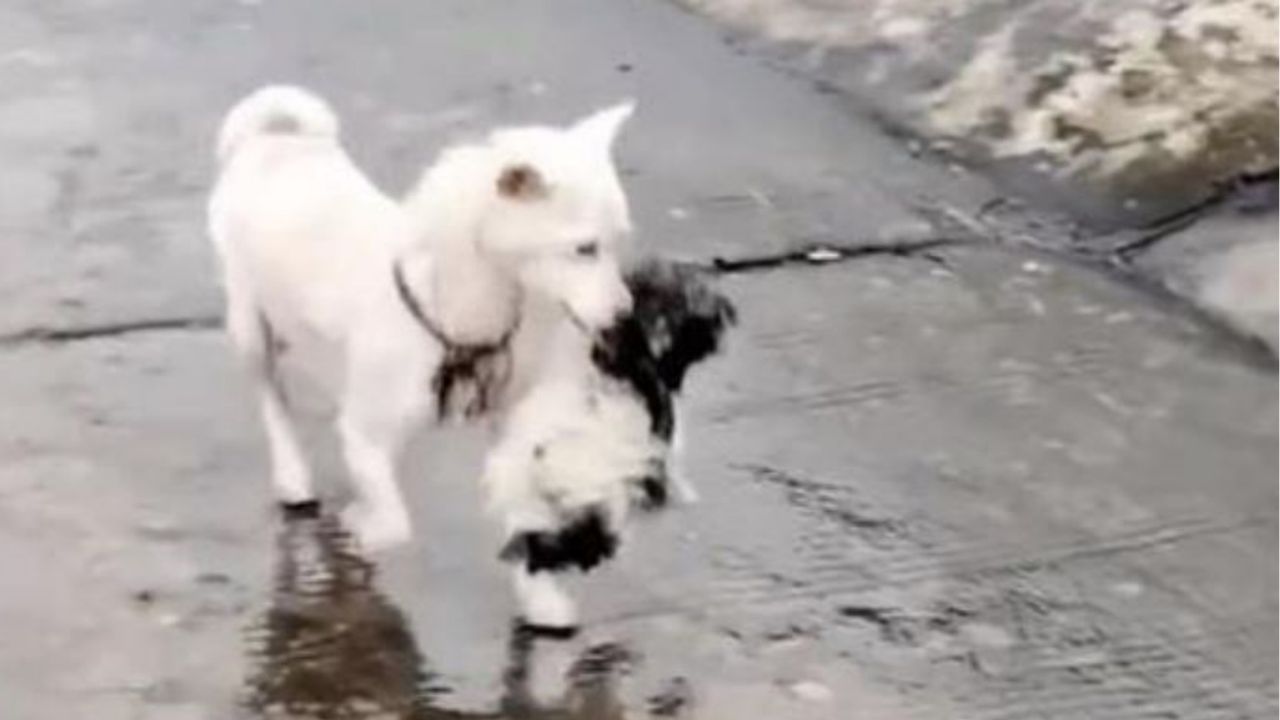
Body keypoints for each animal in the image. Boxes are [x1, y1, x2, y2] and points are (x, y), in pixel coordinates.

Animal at [208, 88, 640, 548]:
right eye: (584, 249)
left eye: (618, 241)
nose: (625, 314)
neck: (448, 310)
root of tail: (270, 142)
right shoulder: (366, 436)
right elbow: (394, 524)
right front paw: (361, 527)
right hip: (249, 328)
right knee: (271, 398)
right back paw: (293, 476)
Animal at [481, 258, 737, 627]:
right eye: (699, 311)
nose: (725, 315)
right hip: (589, 511)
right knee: (550, 552)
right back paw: (553, 608)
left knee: (530, 548)